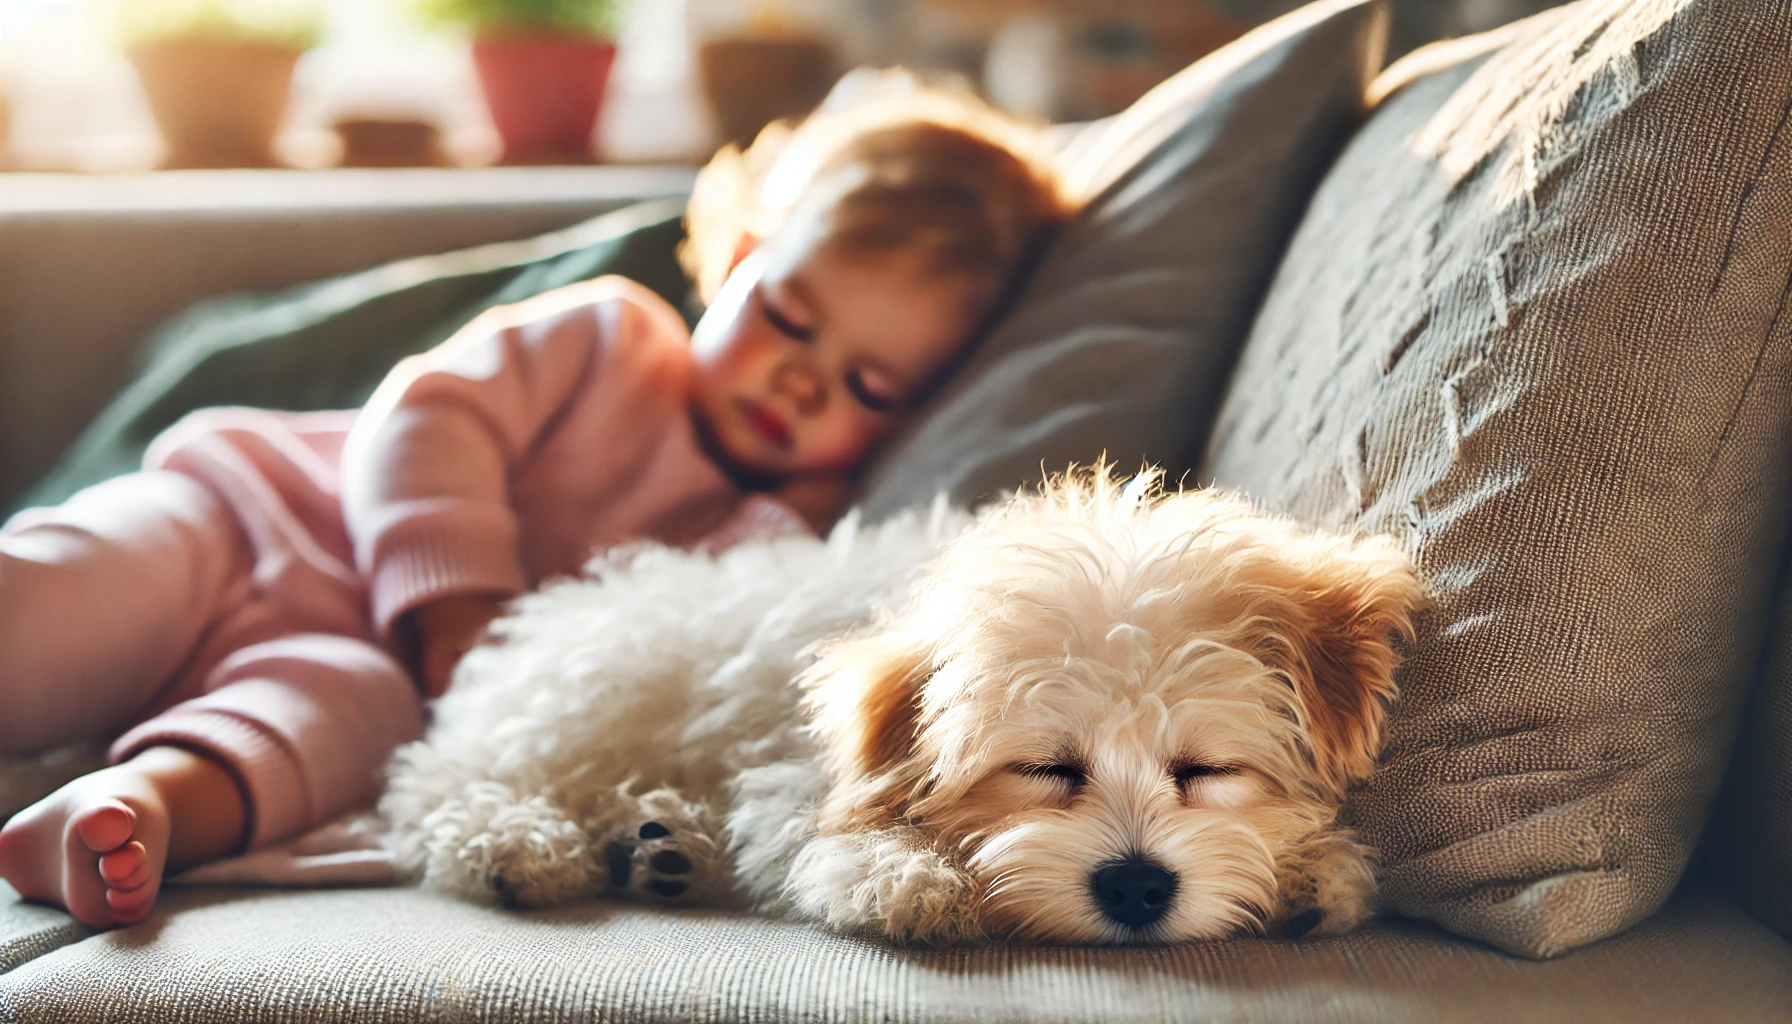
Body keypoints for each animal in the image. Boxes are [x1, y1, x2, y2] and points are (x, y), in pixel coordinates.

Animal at [385, 469, 1419, 946]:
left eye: (1206, 769)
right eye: (1045, 768)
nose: (1135, 886)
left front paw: (1309, 876)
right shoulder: (794, 774)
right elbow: (818, 830)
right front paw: (905, 877)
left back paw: (661, 844)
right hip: (570, 709)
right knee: (438, 787)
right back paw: (519, 843)